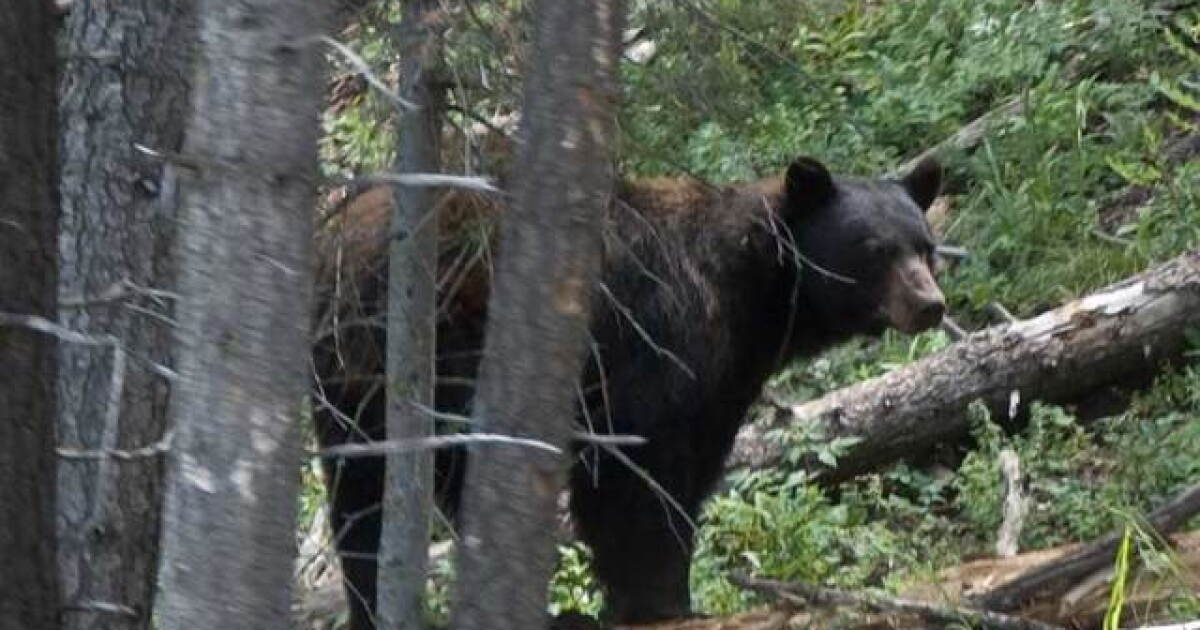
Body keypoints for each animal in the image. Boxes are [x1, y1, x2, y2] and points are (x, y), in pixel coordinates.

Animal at [312, 155, 945, 629]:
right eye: (874, 248)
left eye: (924, 244)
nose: (930, 304)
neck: (755, 296)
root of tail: (338, 238)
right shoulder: (660, 353)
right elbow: (640, 480)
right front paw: (657, 598)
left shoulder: (723, 384)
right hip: (441, 349)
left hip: (348, 386)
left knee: (359, 496)